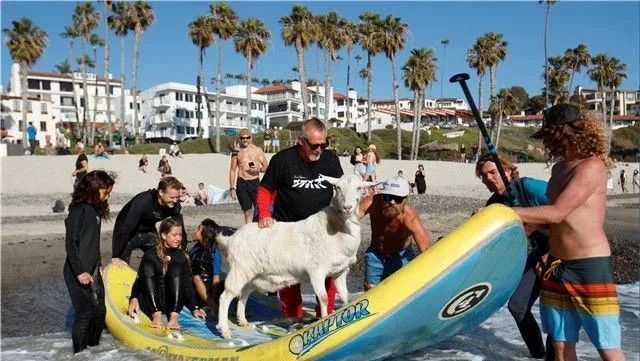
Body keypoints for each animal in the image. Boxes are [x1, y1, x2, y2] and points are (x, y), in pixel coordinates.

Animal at [216, 174, 376, 338]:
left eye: (359, 188)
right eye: (337, 188)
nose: (347, 207)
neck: (338, 228)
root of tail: (231, 239)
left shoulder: (340, 272)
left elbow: (345, 297)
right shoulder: (317, 271)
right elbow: (324, 298)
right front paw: (324, 322)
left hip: (253, 275)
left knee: (243, 294)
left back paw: (243, 321)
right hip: (239, 269)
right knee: (226, 296)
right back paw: (225, 331)